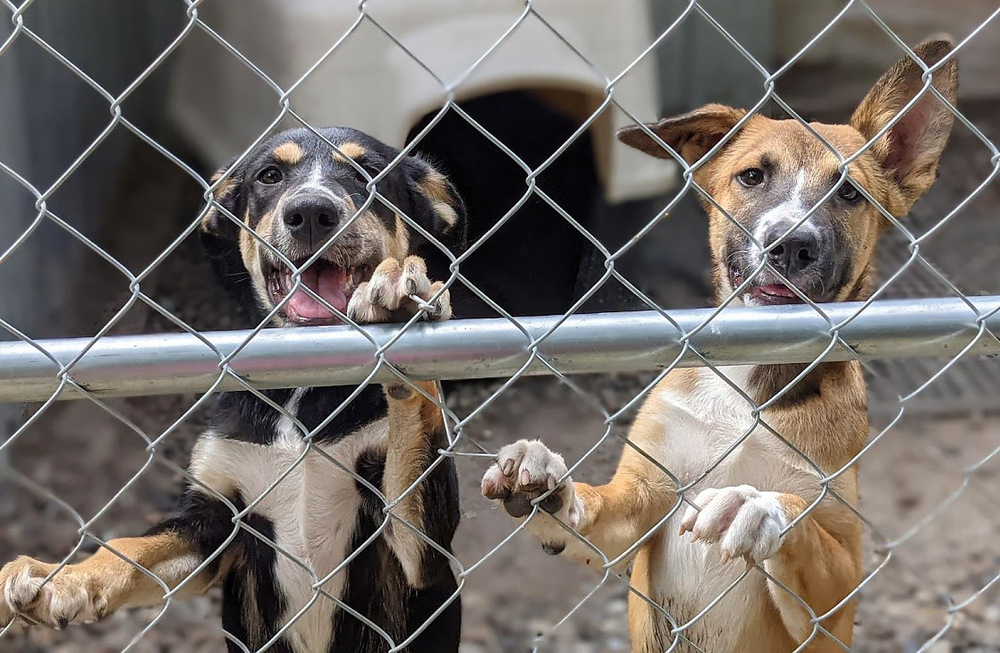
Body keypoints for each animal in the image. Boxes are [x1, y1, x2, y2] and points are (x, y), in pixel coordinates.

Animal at [0, 127, 466, 652]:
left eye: (369, 174)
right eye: (270, 175)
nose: (310, 213)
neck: (305, 393)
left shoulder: (420, 551)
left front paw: (401, 296)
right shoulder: (214, 523)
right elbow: (131, 548)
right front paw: (61, 579)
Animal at [480, 40, 956, 652]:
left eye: (848, 192)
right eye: (751, 176)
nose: (791, 244)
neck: (748, 381)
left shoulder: (839, 601)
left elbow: (804, 526)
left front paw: (758, 507)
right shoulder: (639, 506)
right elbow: (596, 507)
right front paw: (547, 482)